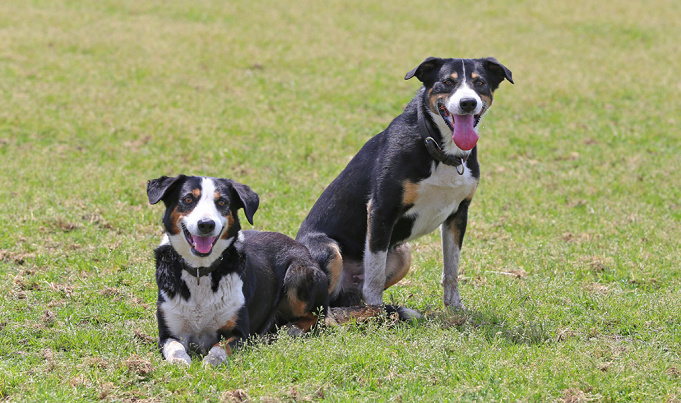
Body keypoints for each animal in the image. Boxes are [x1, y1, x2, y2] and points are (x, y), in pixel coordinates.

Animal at [147, 175, 328, 368]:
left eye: (222, 202)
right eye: (188, 199)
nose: (206, 225)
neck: (200, 271)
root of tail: (300, 246)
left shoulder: (238, 332)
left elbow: (219, 348)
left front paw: (211, 362)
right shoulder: (168, 333)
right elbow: (175, 349)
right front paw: (180, 363)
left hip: (298, 273)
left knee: (318, 315)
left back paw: (292, 329)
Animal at [294, 57, 512, 316]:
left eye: (480, 83)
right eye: (447, 82)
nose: (468, 103)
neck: (439, 149)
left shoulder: (458, 214)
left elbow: (451, 269)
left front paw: (455, 309)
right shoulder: (381, 210)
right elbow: (375, 273)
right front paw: (378, 312)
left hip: (402, 254)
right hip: (329, 250)